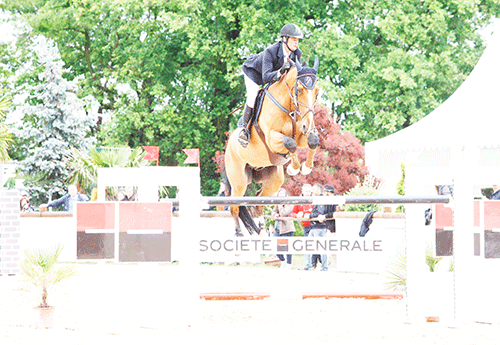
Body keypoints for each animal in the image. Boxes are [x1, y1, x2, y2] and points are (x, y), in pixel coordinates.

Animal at [224, 57, 318, 236]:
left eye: (317, 91)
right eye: (299, 90)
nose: (308, 125)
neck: (288, 106)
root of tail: (227, 148)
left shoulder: (301, 134)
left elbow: (312, 141)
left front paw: (306, 167)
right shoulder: (272, 139)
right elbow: (290, 143)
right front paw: (294, 169)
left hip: (273, 180)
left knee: (258, 199)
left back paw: (261, 230)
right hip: (239, 181)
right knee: (234, 207)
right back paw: (239, 234)